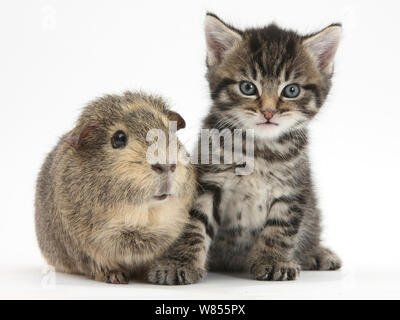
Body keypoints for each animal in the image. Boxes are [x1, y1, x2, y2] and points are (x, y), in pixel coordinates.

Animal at [148, 12, 342, 284]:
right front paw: (178, 263)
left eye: (291, 90)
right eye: (248, 87)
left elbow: (281, 227)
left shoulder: (294, 188)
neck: (259, 149)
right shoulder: (206, 181)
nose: (269, 112)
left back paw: (317, 253)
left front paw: (273, 261)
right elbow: (193, 224)